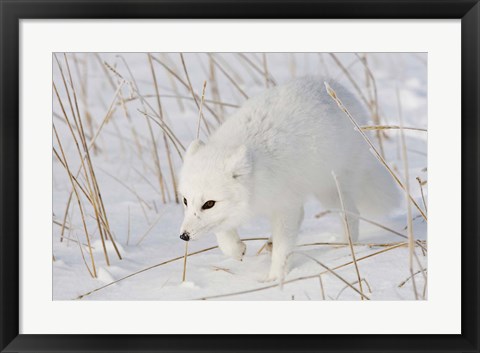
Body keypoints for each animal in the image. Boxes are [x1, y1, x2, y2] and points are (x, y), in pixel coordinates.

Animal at [178, 77, 400, 280]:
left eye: (209, 204)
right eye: (185, 201)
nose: (183, 236)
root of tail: (335, 86)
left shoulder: (286, 206)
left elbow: (283, 248)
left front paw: (276, 279)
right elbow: (222, 233)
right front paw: (236, 249)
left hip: (330, 189)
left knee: (351, 214)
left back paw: (346, 245)